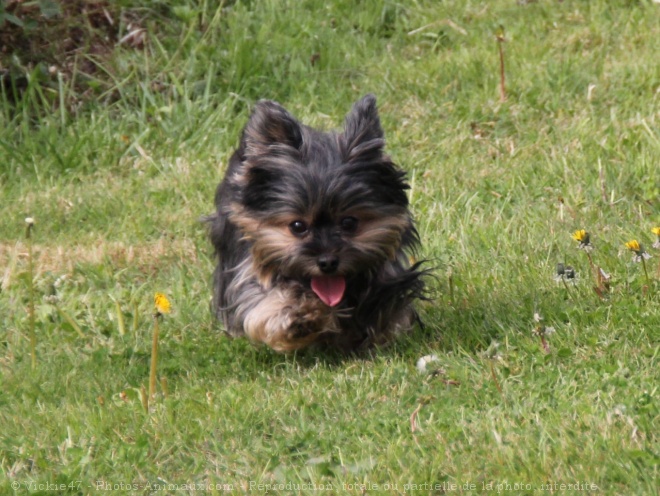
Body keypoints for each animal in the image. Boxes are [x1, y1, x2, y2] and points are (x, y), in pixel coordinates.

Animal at [211, 95, 428, 350]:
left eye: (349, 222)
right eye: (297, 226)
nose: (327, 262)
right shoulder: (244, 267)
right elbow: (260, 298)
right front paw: (299, 316)